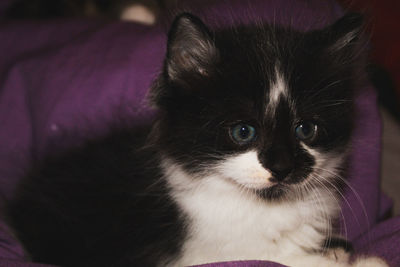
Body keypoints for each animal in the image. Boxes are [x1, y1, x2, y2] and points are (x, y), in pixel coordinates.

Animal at [6, 12, 388, 267]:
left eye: (306, 129)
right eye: (243, 132)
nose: (281, 167)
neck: (262, 207)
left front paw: (339, 249)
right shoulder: (199, 256)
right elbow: (282, 259)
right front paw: (364, 261)